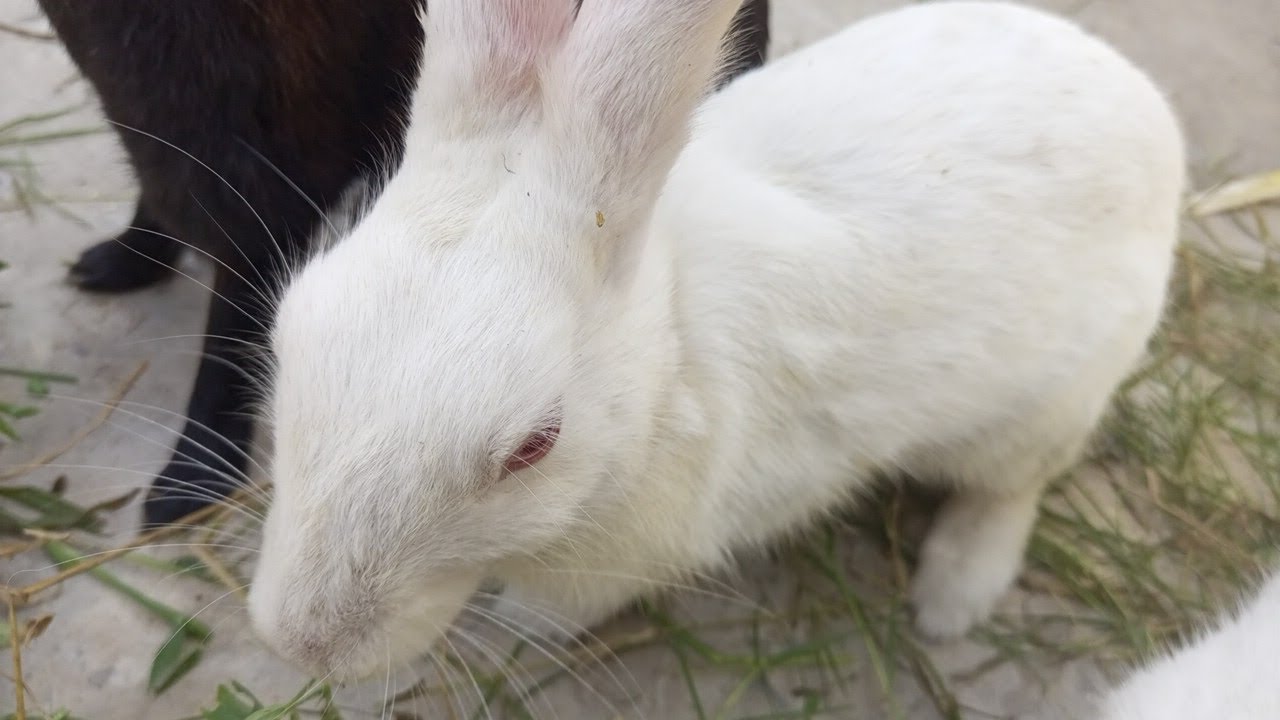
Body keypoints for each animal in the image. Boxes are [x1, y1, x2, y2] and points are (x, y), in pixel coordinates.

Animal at [246, 0, 1185, 682]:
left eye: (533, 448)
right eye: (290, 333)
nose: (303, 643)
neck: (666, 362)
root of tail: (1151, 110)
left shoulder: (628, 558)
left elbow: (557, 612)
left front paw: (517, 629)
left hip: (1037, 411)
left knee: (1011, 490)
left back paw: (952, 599)